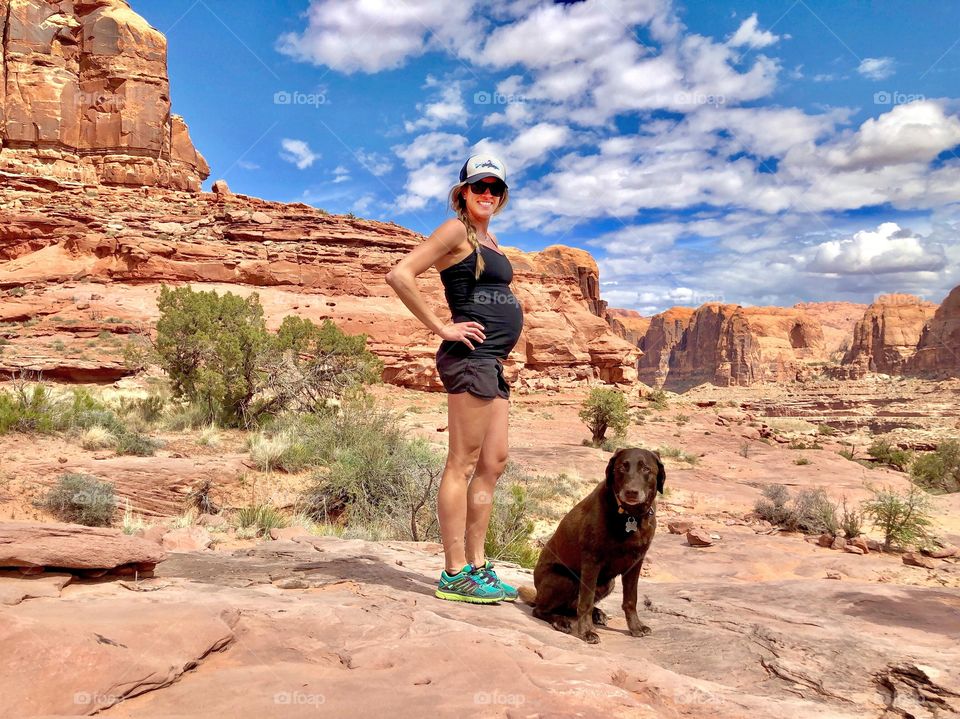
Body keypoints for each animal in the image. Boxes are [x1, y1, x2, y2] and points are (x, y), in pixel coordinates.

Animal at [520, 448, 664, 644]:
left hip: (608, 583)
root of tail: (537, 594)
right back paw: (561, 622)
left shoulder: (635, 562)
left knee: (570, 606)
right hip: (566, 579)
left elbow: (630, 599)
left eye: (646, 469)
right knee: (541, 610)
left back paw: (597, 614)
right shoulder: (591, 561)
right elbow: (585, 602)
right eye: (622, 467)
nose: (631, 492)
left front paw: (636, 627)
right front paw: (586, 632)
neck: (629, 516)